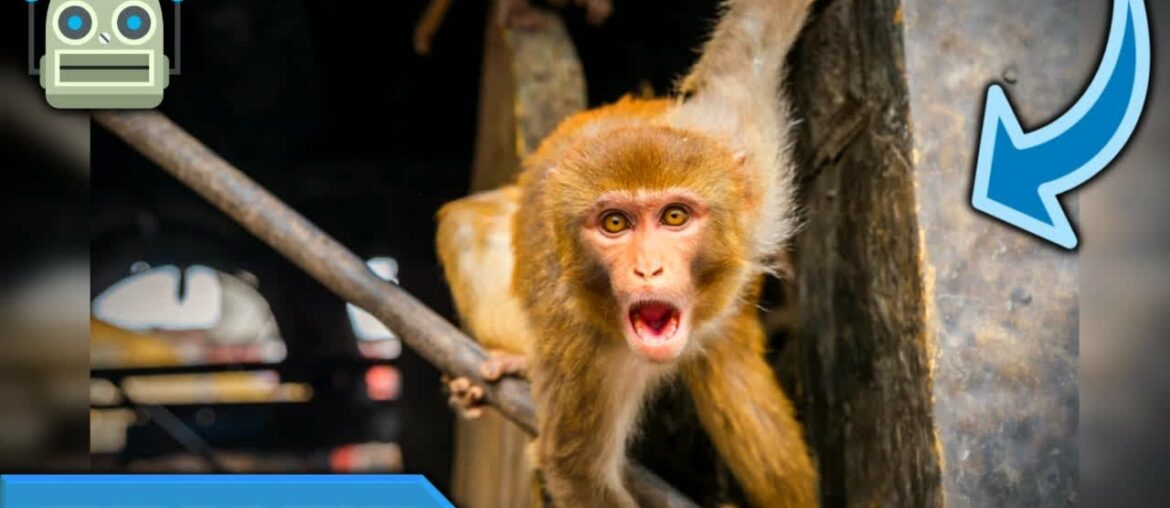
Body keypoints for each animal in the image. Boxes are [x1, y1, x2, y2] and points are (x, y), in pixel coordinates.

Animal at [436, 0, 817, 506]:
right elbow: (576, 470)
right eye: (615, 223)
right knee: (463, 227)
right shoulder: (580, 340)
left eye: (674, 217)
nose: (648, 268)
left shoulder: (740, 145)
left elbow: (750, 39)